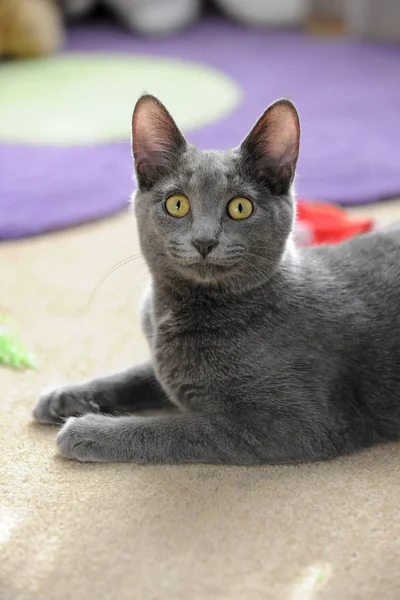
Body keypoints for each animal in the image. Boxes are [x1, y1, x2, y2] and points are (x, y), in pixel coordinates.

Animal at [32, 96, 400, 466]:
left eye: (240, 207)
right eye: (177, 204)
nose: (204, 241)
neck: (178, 311)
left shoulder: (298, 424)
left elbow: (174, 430)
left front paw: (86, 429)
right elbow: (136, 374)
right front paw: (63, 396)